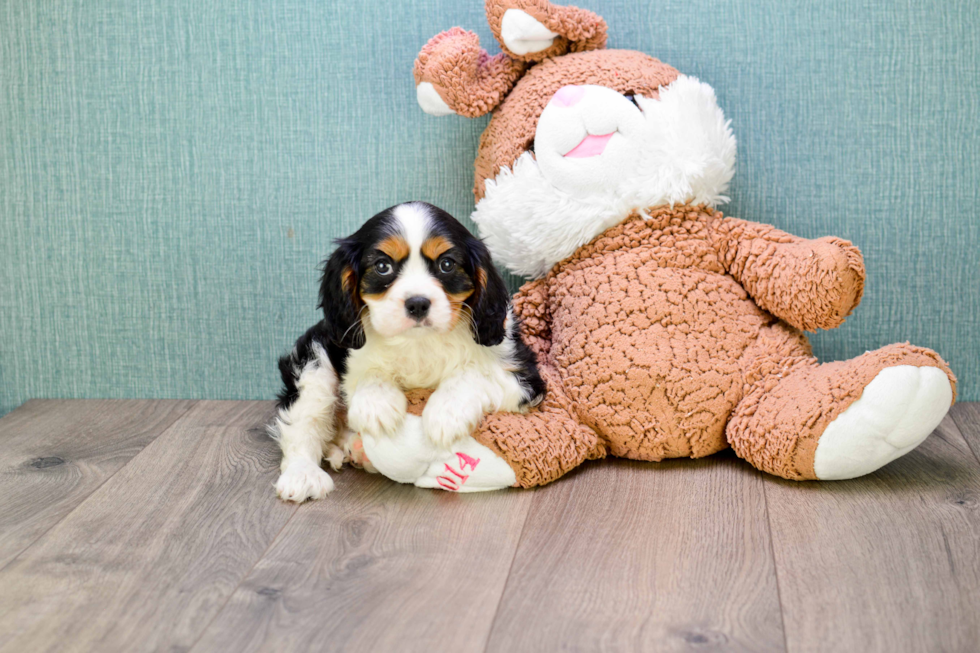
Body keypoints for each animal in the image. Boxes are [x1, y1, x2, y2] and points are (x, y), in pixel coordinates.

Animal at [268, 201, 544, 502]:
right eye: (382, 266)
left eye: (447, 264)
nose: (418, 303)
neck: (419, 342)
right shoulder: (344, 352)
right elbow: (368, 373)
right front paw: (376, 405)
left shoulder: (521, 374)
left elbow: (473, 373)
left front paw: (446, 413)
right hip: (313, 363)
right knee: (303, 422)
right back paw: (303, 474)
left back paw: (358, 450)